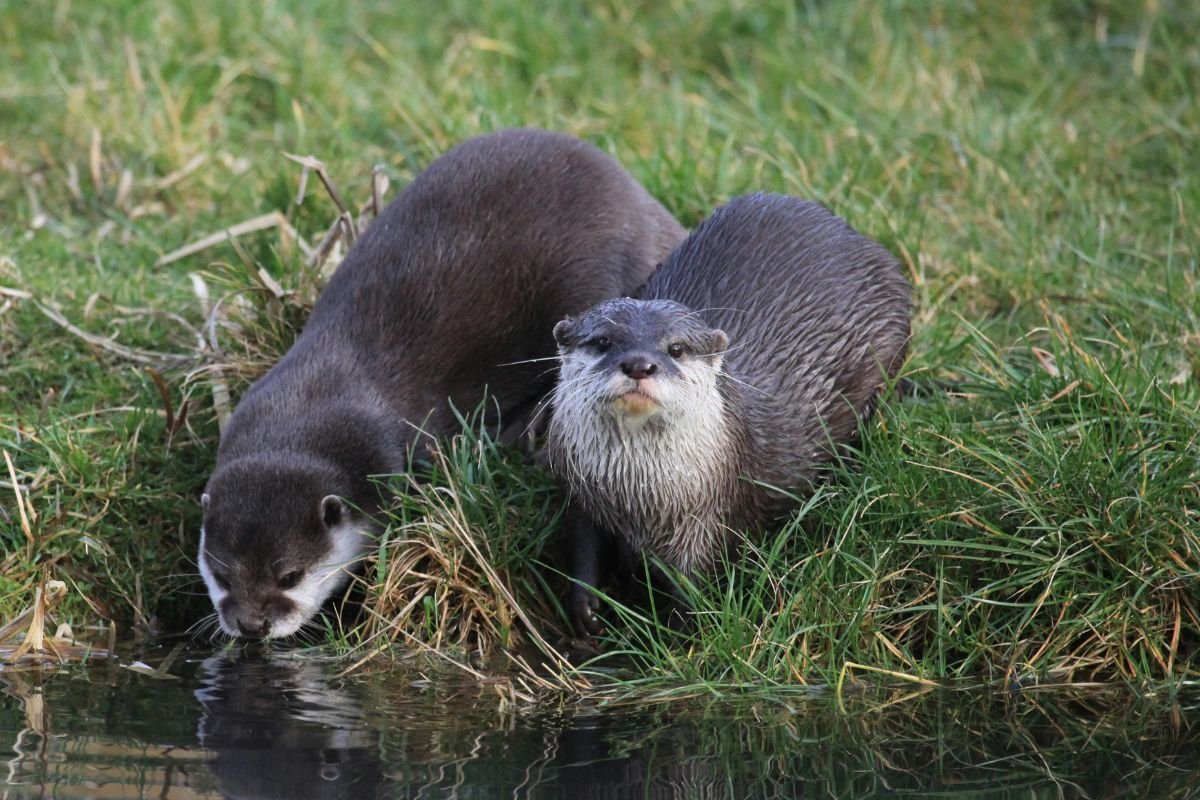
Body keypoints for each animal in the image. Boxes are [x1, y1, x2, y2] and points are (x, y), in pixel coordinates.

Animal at [547, 190, 907, 633]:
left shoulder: (709, 521)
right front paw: (586, 610)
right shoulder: (580, 493)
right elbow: (583, 550)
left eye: (676, 348)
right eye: (602, 341)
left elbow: (693, 588)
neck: (637, 499)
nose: (639, 364)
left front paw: (678, 637)